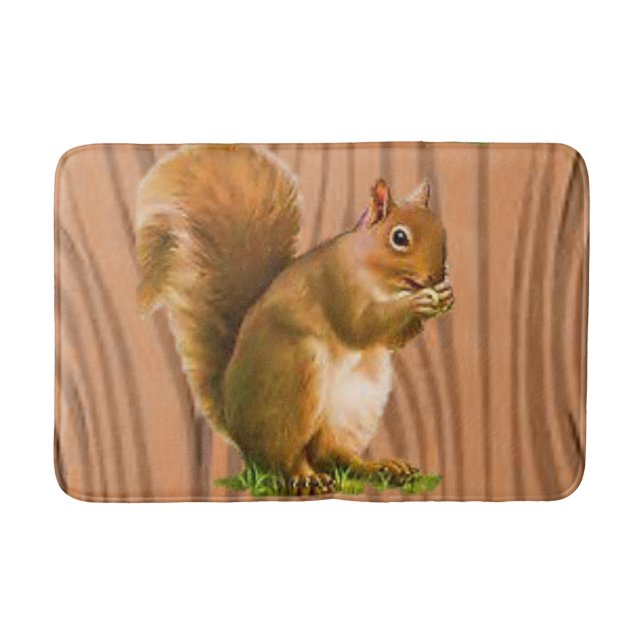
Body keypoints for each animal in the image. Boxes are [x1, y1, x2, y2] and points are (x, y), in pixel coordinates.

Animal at [136, 144, 454, 495]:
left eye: (442, 231)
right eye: (399, 237)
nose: (436, 276)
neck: (374, 272)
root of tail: (236, 422)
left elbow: (391, 339)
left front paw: (445, 295)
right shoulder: (336, 283)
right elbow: (360, 325)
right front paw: (416, 302)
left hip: (356, 402)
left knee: (331, 452)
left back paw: (380, 467)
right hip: (295, 379)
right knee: (285, 457)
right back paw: (305, 477)